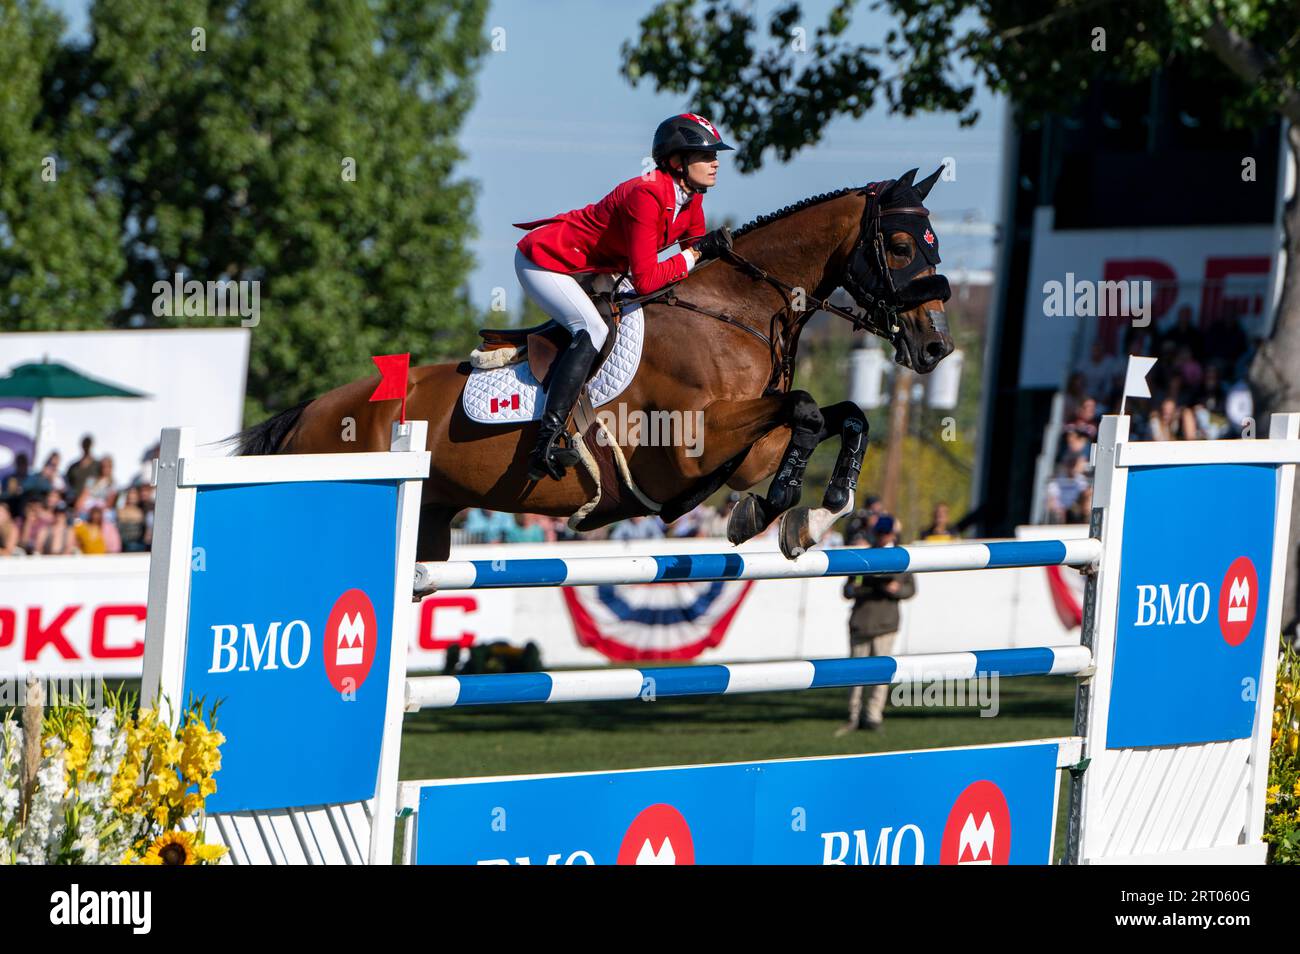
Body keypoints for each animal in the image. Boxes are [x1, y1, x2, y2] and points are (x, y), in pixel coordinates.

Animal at [233, 167, 956, 566]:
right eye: (899, 245)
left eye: (935, 242)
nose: (937, 348)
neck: (735, 310)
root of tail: (314, 413)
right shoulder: (690, 449)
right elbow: (804, 410)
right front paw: (772, 510)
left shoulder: (745, 450)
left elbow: (844, 416)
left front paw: (815, 516)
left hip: (431, 525)